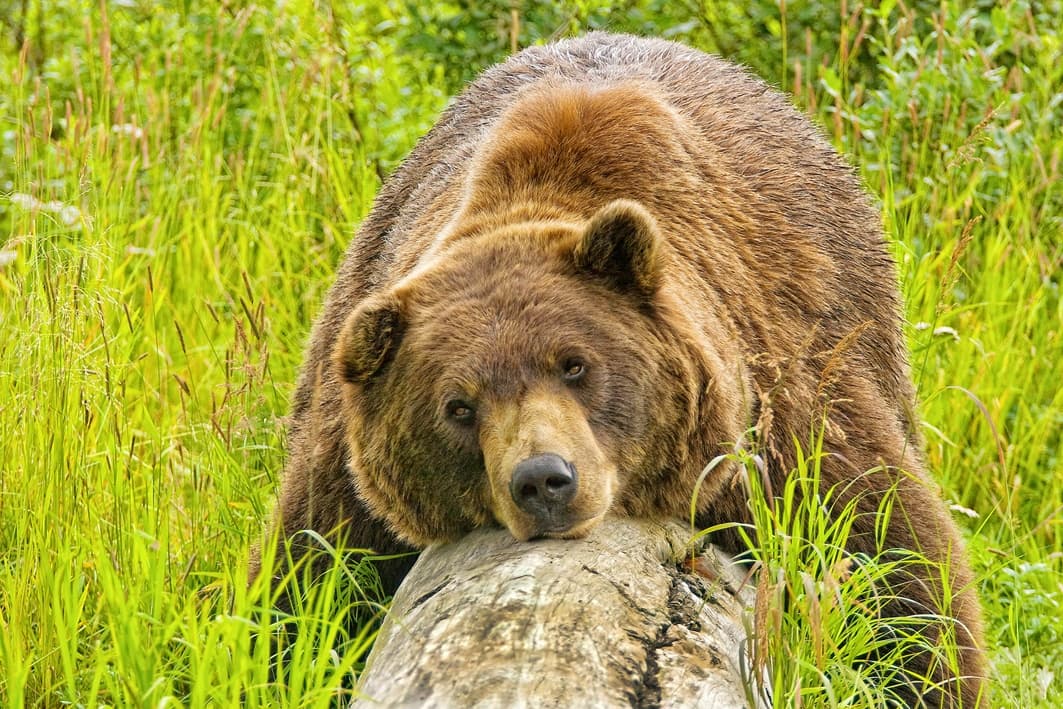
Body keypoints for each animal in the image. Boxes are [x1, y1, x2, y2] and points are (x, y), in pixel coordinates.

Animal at [252, 32, 985, 707]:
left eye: (575, 365)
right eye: (457, 406)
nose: (543, 480)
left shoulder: (789, 413)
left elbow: (896, 570)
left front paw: (913, 670)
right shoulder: (347, 480)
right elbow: (311, 582)